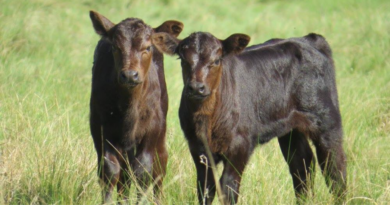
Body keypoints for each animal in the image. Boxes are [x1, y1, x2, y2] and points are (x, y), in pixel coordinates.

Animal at [89, 10, 184, 203]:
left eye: (147, 48)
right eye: (115, 47)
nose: (130, 75)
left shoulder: (152, 129)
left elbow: (144, 171)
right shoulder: (100, 127)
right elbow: (109, 170)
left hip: (160, 135)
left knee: (159, 168)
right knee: (124, 177)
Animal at [152, 31, 348, 204]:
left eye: (216, 60)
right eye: (183, 60)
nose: (196, 87)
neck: (207, 118)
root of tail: (308, 39)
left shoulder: (240, 145)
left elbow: (228, 188)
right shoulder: (198, 148)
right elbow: (206, 189)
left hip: (327, 120)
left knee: (334, 168)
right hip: (291, 128)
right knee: (302, 164)